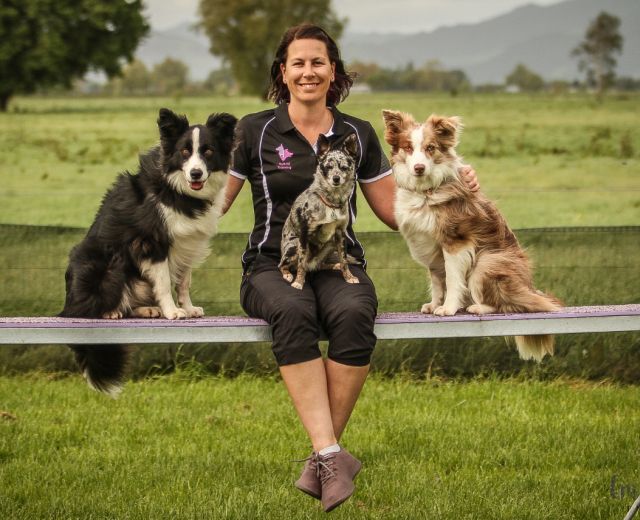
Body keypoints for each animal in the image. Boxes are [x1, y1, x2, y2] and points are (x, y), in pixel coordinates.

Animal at [282, 133, 362, 288]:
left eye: (344, 167)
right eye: (328, 167)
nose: (336, 178)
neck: (331, 202)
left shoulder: (340, 234)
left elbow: (344, 260)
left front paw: (349, 277)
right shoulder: (304, 235)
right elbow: (301, 264)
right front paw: (298, 282)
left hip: (331, 244)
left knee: (319, 265)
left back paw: (334, 266)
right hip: (293, 246)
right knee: (284, 265)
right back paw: (288, 275)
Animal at [380, 109, 560, 362]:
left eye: (430, 148)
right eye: (407, 147)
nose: (419, 168)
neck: (426, 190)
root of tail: (529, 287)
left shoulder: (454, 242)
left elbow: (453, 280)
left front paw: (448, 308)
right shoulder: (433, 249)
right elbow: (437, 281)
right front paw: (434, 304)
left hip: (486, 263)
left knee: (508, 305)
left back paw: (478, 307)